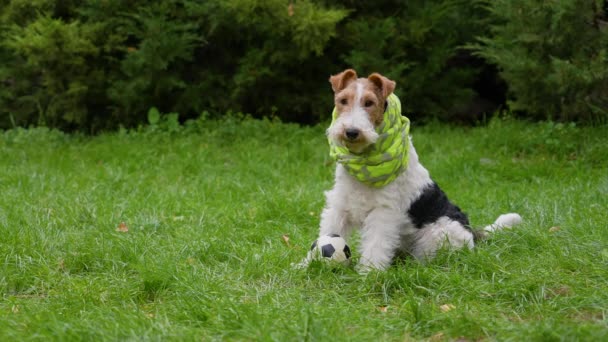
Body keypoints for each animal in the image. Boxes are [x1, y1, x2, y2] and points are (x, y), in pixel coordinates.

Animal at [296, 69, 520, 272]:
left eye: (369, 102)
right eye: (343, 100)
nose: (351, 132)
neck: (364, 162)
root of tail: (472, 233)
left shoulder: (383, 212)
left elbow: (376, 245)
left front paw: (369, 273)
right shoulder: (340, 205)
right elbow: (327, 235)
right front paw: (306, 264)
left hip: (437, 234)